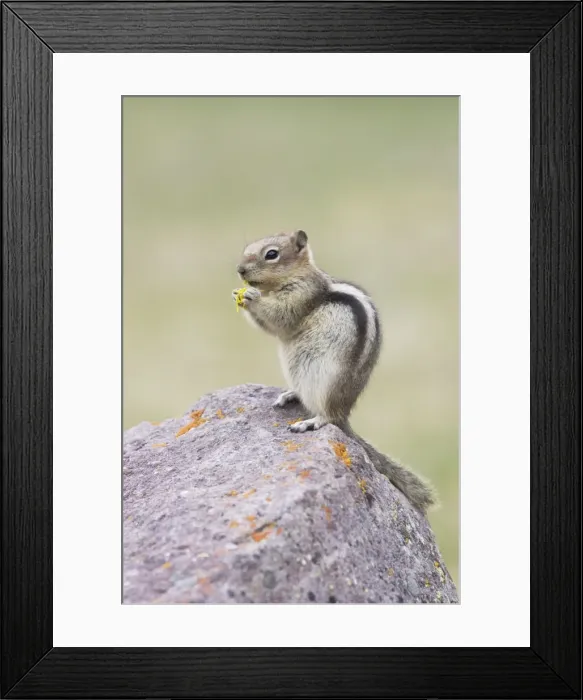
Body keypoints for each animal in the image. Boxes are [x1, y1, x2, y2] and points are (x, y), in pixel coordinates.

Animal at [232, 229, 436, 514]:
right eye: (247, 248)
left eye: (271, 254)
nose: (239, 270)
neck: (296, 276)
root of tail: (344, 414)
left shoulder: (300, 297)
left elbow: (280, 317)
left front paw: (251, 296)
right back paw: (290, 395)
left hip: (325, 385)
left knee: (328, 418)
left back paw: (310, 422)